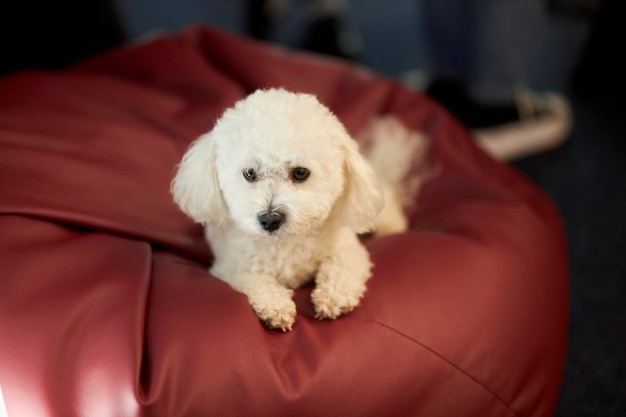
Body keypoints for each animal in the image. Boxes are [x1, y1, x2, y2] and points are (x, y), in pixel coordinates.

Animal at [172, 88, 424, 332]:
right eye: (249, 173)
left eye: (301, 172)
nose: (269, 219)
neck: (285, 243)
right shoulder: (228, 267)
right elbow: (253, 280)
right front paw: (275, 305)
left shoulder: (347, 248)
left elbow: (343, 267)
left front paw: (333, 296)